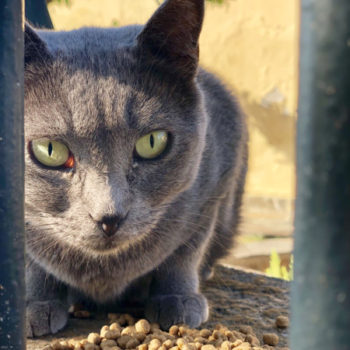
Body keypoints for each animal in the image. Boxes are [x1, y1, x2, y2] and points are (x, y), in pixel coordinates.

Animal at [24, 0, 247, 340]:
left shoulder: (216, 182)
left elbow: (186, 250)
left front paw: (177, 299)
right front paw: (34, 304)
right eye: (50, 150)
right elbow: (31, 261)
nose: (109, 218)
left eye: (152, 142)